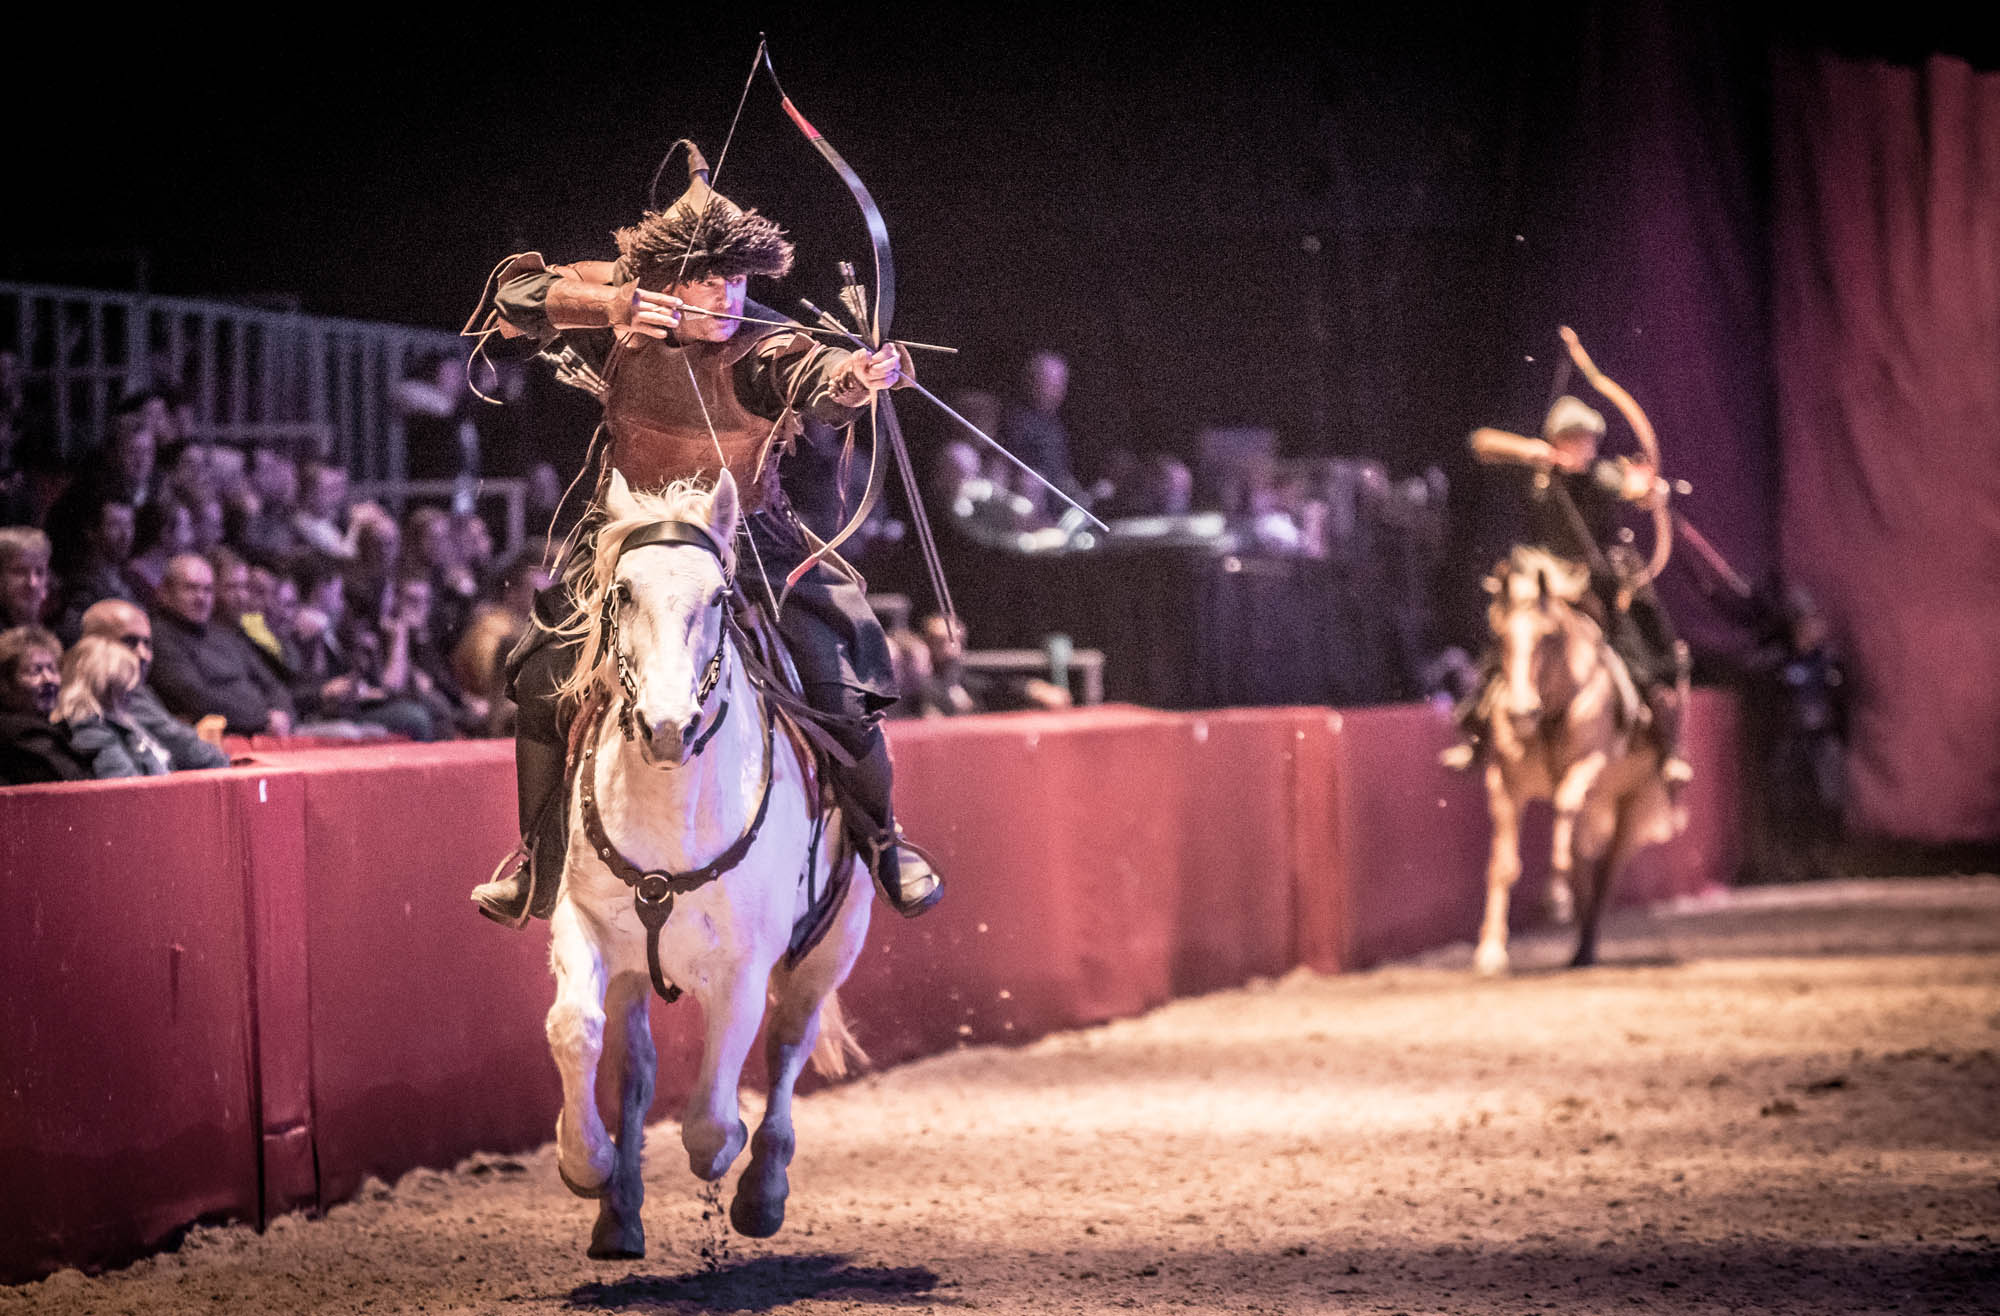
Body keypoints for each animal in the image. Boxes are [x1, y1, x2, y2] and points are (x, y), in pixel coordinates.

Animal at [548, 466, 868, 1256]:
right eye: (621, 592)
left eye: (720, 598)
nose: (668, 726)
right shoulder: (583, 926)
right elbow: (575, 1028)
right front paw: (585, 1161)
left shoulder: (745, 968)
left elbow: (712, 1117)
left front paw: (726, 1160)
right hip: (636, 973)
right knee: (634, 1068)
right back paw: (619, 1213)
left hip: (832, 947)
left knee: (787, 1045)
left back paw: (762, 1192)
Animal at [1472, 544, 1688, 972]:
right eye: (1501, 636)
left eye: (1549, 636)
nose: (1520, 713)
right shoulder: (1503, 783)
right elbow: (1502, 866)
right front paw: (1490, 950)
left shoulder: (1588, 768)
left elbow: (1564, 806)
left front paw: (1555, 898)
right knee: (1583, 861)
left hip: (1634, 801)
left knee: (1606, 869)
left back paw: (1585, 943)